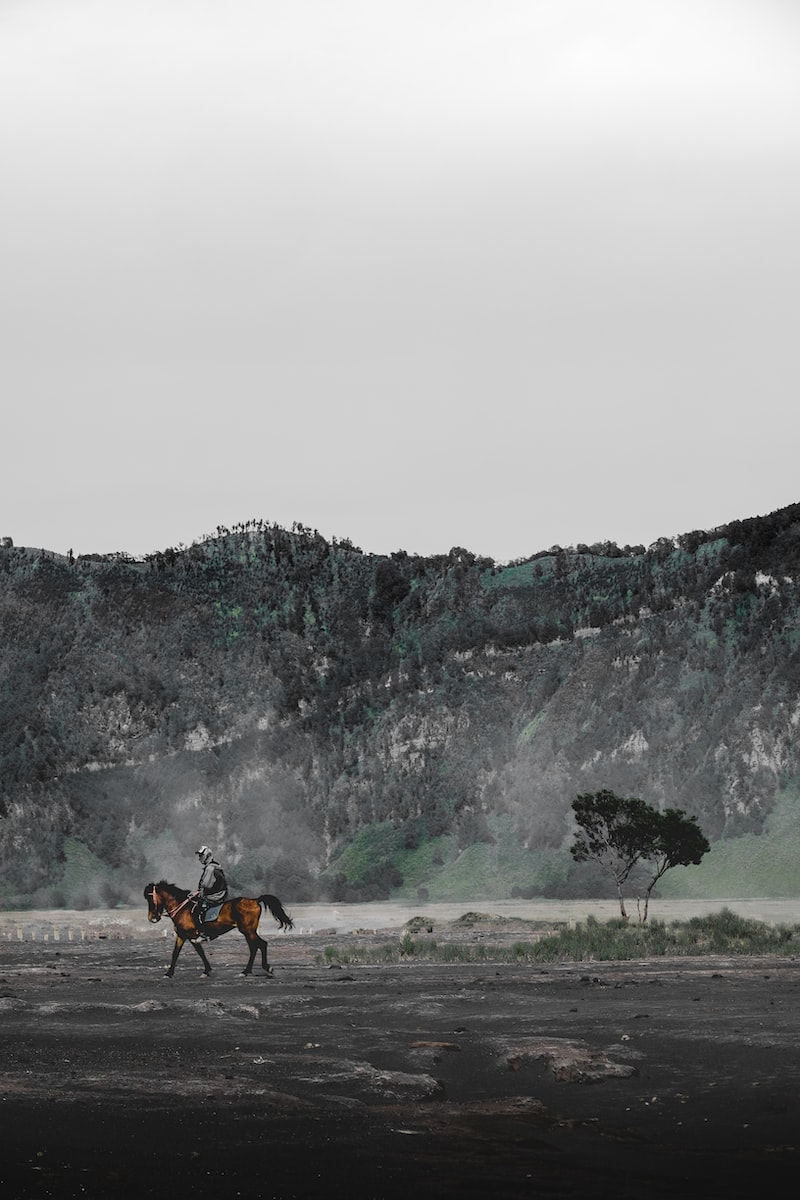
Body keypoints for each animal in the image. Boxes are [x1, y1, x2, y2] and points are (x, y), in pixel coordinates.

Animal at [144, 880, 293, 978]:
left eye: (151, 899)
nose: (152, 918)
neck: (182, 908)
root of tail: (255, 900)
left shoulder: (191, 935)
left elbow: (197, 952)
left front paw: (205, 971)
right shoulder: (182, 936)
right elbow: (178, 953)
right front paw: (170, 973)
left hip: (248, 930)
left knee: (261, 944)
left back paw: (261, 968)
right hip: (248, 931)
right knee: (254, 947)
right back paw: (247, 971)